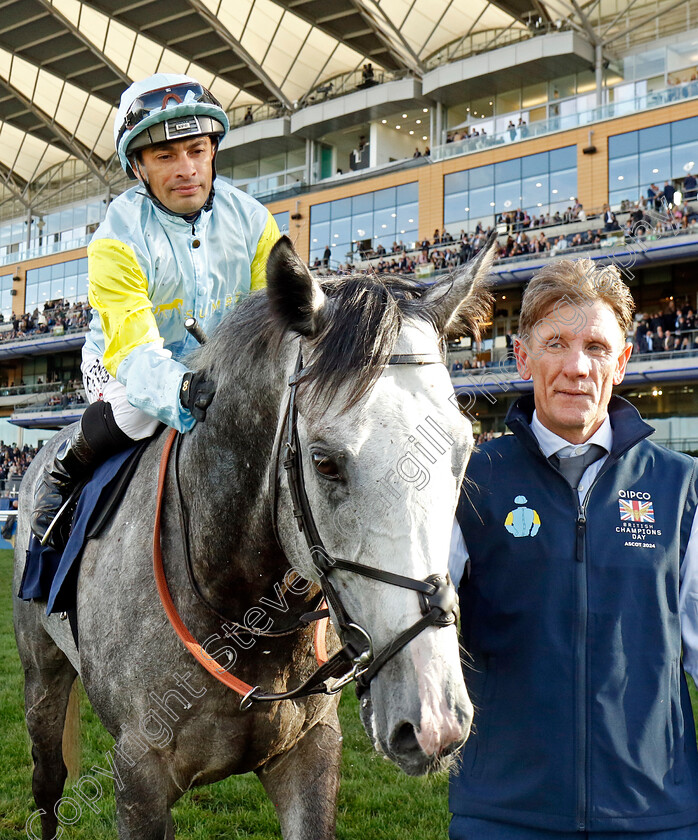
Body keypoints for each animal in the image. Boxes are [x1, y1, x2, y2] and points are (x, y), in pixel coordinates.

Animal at [14, 236, 494, 840]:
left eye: (463, 448)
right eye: (324, 461)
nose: (433, 718)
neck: (237, 608)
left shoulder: (311, 753)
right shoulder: (138, 775)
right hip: (41, 676)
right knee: (47, 784)